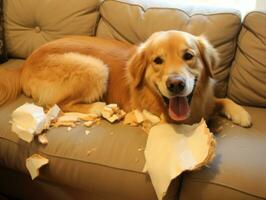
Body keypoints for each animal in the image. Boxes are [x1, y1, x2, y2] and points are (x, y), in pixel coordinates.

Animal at [0, 30, 251, 126]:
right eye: (157, 60)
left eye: (189, 56)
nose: (176, 84)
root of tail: (24, 65)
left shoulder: (205, 100)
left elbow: (221, 100)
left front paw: (241, 114)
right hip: (95, 67)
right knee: (60, 105)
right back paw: (100, 108)